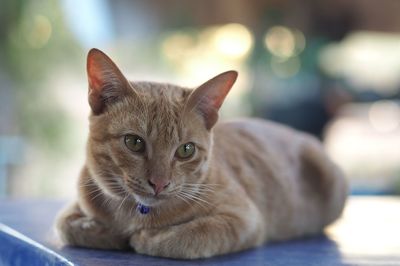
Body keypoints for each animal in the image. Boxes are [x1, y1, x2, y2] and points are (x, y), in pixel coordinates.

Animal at [54, 48, 348, 260]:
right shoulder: (74, 206)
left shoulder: (243, 219)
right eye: (134, 142)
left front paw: (146, 238)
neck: (137, 213)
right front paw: (105, 231)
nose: (159, 183)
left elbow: (193, 235)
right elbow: (67, 225)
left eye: (186, 150)